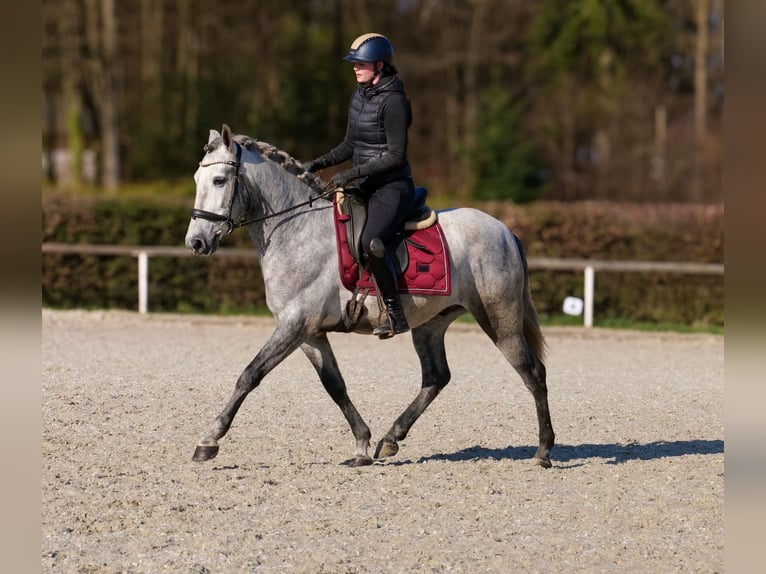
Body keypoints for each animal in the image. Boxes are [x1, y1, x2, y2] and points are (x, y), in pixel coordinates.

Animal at [185, 124, 555, 468]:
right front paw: (362, 444)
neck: (296, 231)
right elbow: (335, 385)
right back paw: (391, 438)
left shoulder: (294, 325)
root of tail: (505, 230)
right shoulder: (309, 333)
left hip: (499, 319)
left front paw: (208, 441)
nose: (196, 242)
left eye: (219, 180)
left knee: (532, 373)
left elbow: (249, 375)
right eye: (197, 178)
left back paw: (543, 451)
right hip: (431, 324)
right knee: (436, 377)